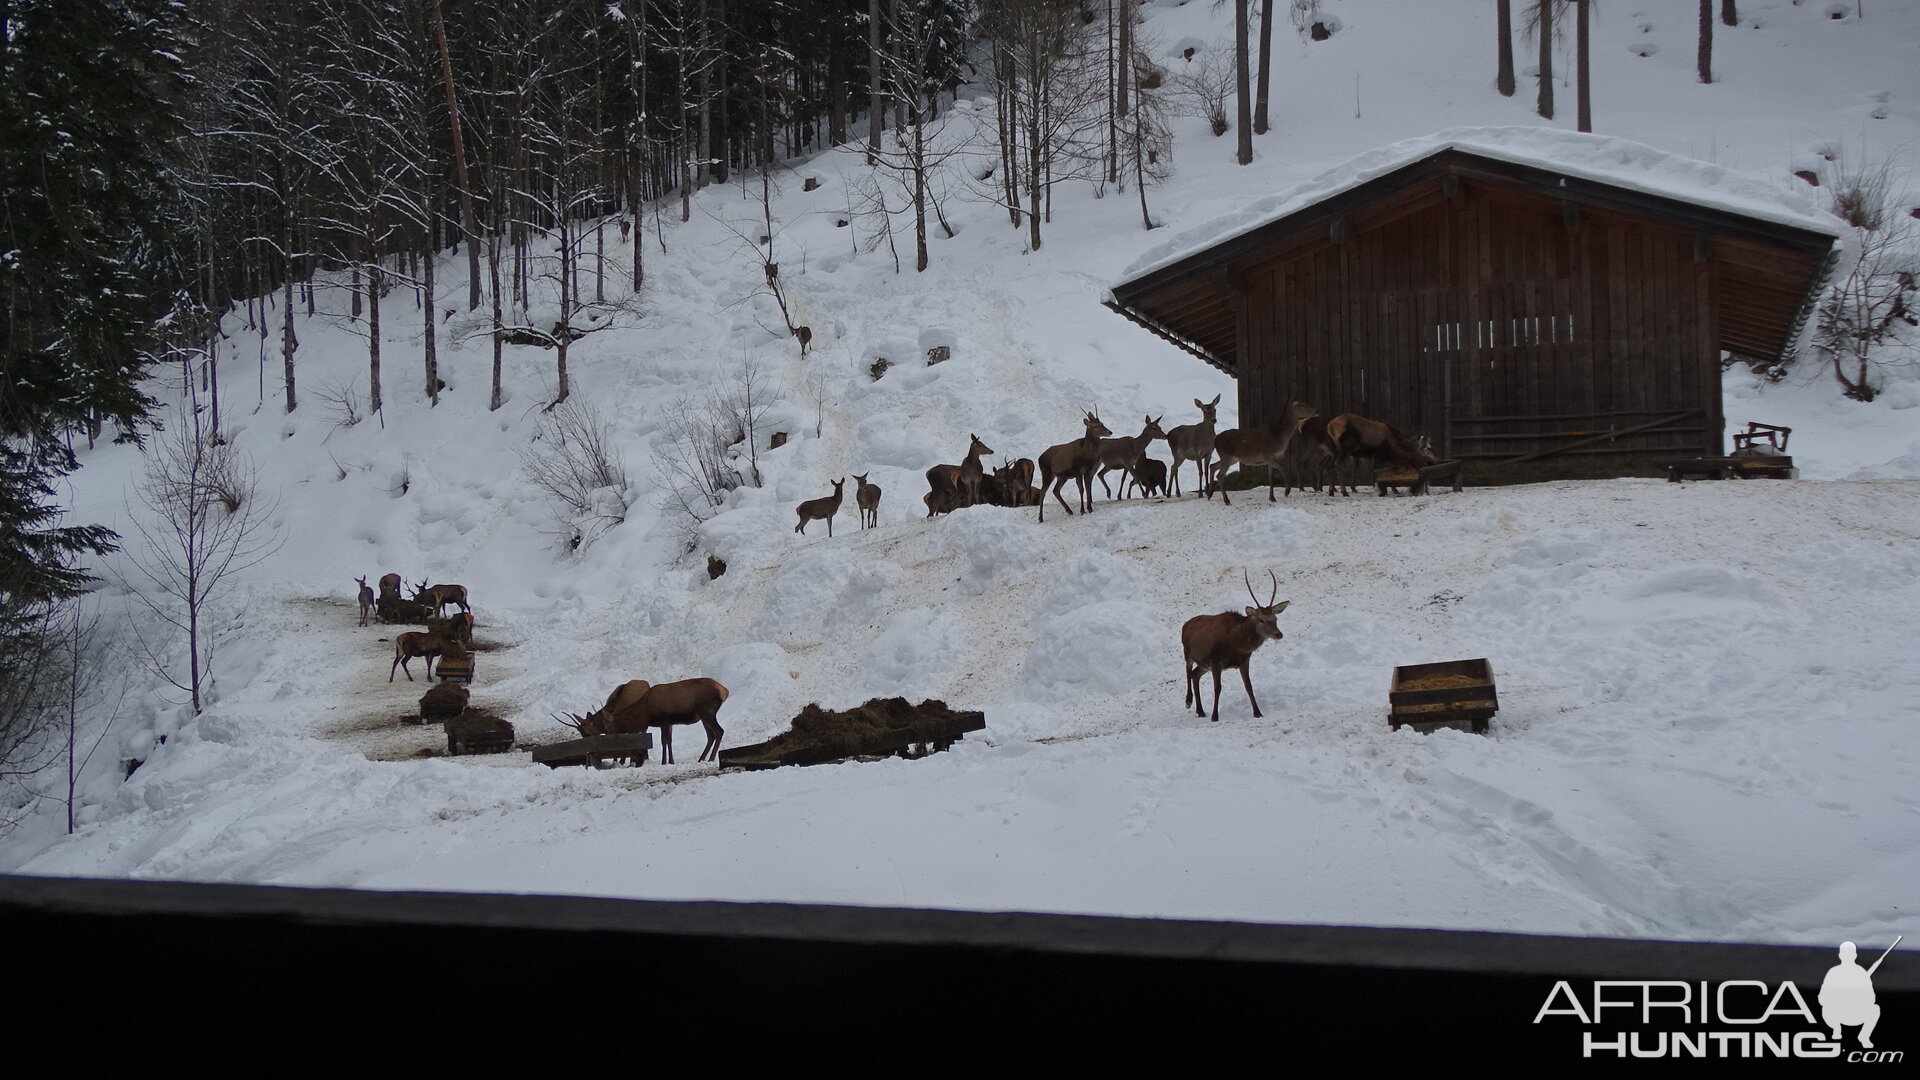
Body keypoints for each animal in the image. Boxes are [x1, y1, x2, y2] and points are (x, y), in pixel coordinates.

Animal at [1167, 568, 1290, 718]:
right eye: (1261, 619)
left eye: (1275, 618)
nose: (1279, 634)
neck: (1236, 643)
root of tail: (1185, 625)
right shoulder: (1215, 660)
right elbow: (1217, 688)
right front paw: (1215, 716)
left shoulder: (1244, 660)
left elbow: (1248, 686)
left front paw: (1258, 713)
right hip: (1188, 653)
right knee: (1188, 670)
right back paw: (1188, 701)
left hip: (1204, 665)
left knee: (1195, 675)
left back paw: (1200, 711)